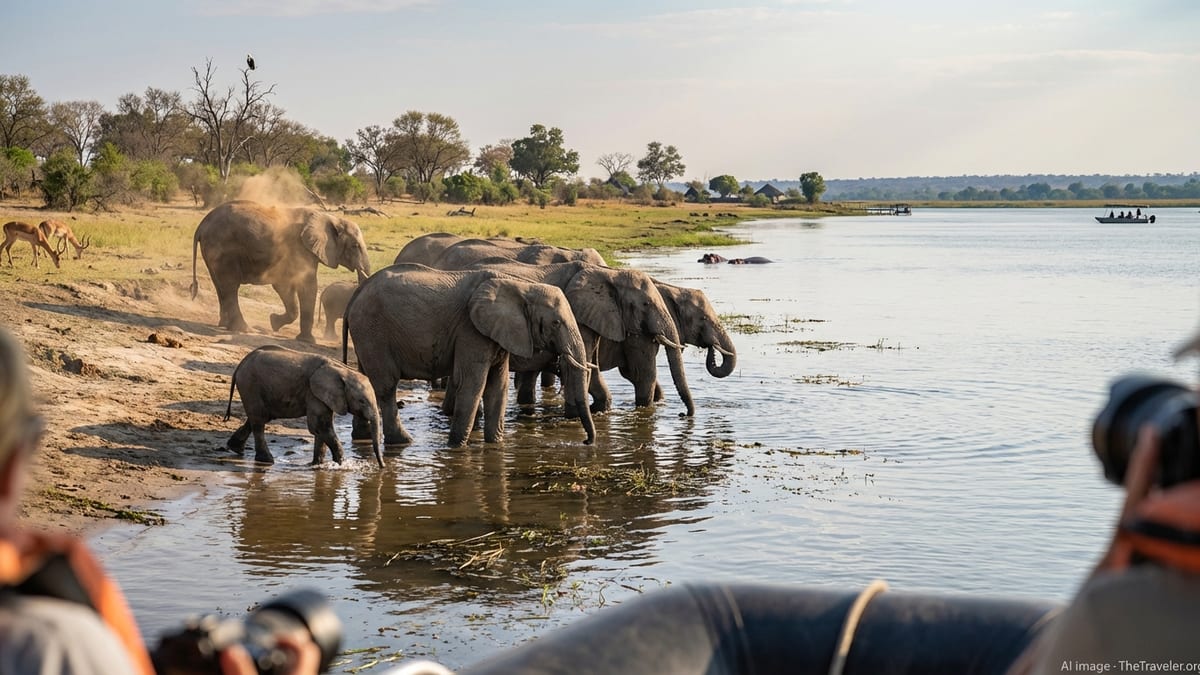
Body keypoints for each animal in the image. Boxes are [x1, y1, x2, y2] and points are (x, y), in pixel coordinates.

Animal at [191, 200, 372, 343]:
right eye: (355, 246)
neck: (330, 218)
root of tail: (202, 224)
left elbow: (284, 287)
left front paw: (273, 323)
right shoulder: (301, 250)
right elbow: (307, 286)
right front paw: (307, 340)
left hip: (213, 250)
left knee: (220, 285)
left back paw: (224, 325)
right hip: (224, 248)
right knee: (230, 286)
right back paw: (244, 329)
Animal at [224, 345, 383, 466]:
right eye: (361, 401)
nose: (382, 467)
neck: (344, 370)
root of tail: (240, 364)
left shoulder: (323, 396)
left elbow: (321, 428)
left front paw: (317, 465)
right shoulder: (313, 392)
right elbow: (319, 426)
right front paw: (341, 464)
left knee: (257, 418)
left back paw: (236, 449)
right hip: (250, 385)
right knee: (259, 421)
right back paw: (267, 461)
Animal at [343, 264, 596, 448]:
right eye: (556, 323)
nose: (586, 442)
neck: (521, 286)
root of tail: (356, 293)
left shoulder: (498, 332)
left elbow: (498, 385)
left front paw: (495, 446)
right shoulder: (471, 330)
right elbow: (473, 383)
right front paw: (457, 448)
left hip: (367, 334)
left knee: (365, 381)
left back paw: (362, 438)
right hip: (373, 331)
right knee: (386, 387)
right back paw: (403, 442)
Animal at [458, 259, 693, 417]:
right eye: (646, 304)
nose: (683, 415)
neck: (609, 273)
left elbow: (590, 365)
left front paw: (598, 409)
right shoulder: (578, 315)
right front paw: (574, 416)